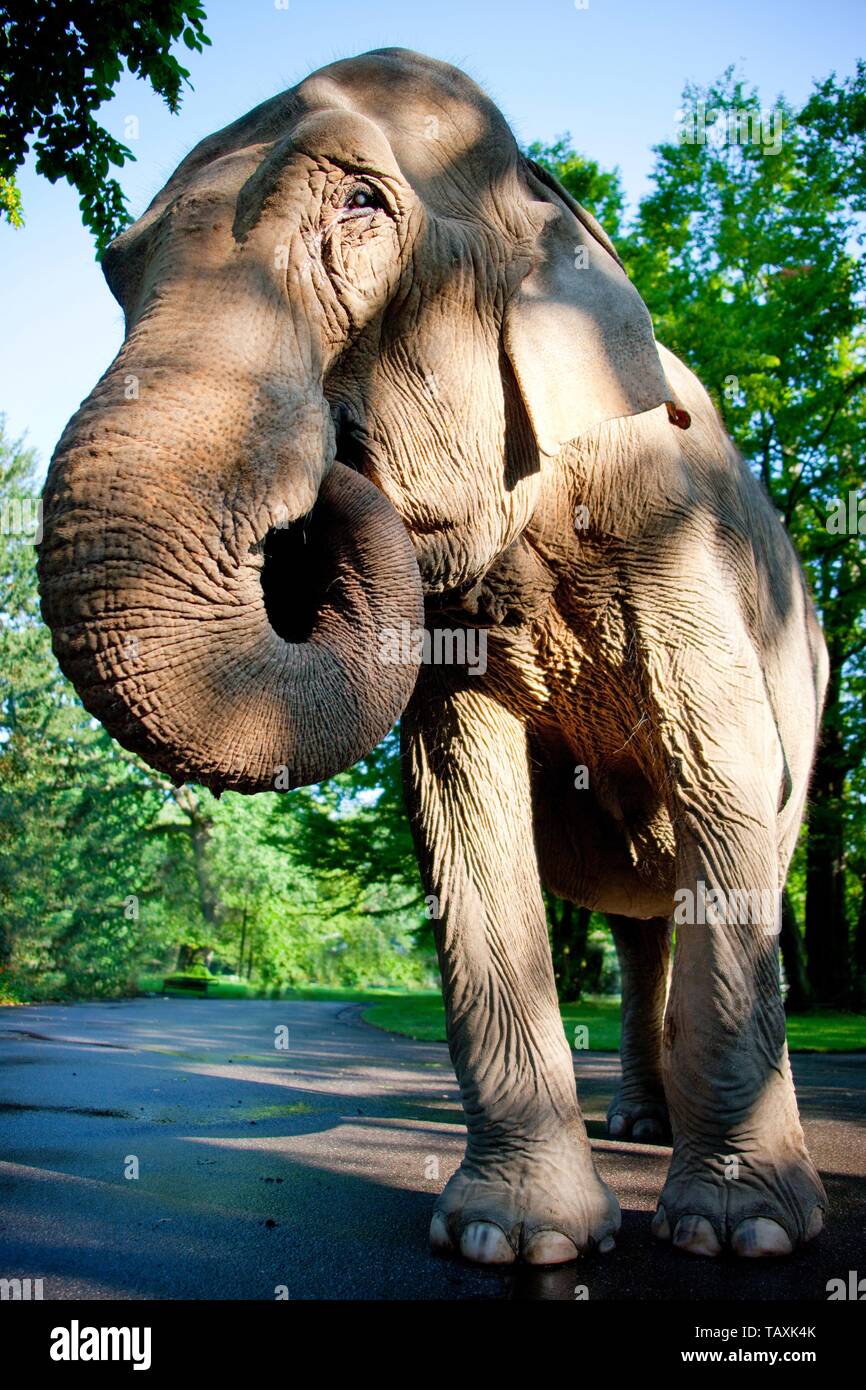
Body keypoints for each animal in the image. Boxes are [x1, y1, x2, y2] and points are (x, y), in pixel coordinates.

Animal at [38, 48, 828, 1273]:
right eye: (117, 271)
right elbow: (458, 808)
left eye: (362, 204)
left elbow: (727, 777)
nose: (327, 477)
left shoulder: (673, 531)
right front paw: (513, 1241)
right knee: (637, 919)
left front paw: (739, 1234)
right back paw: (636, 1124)